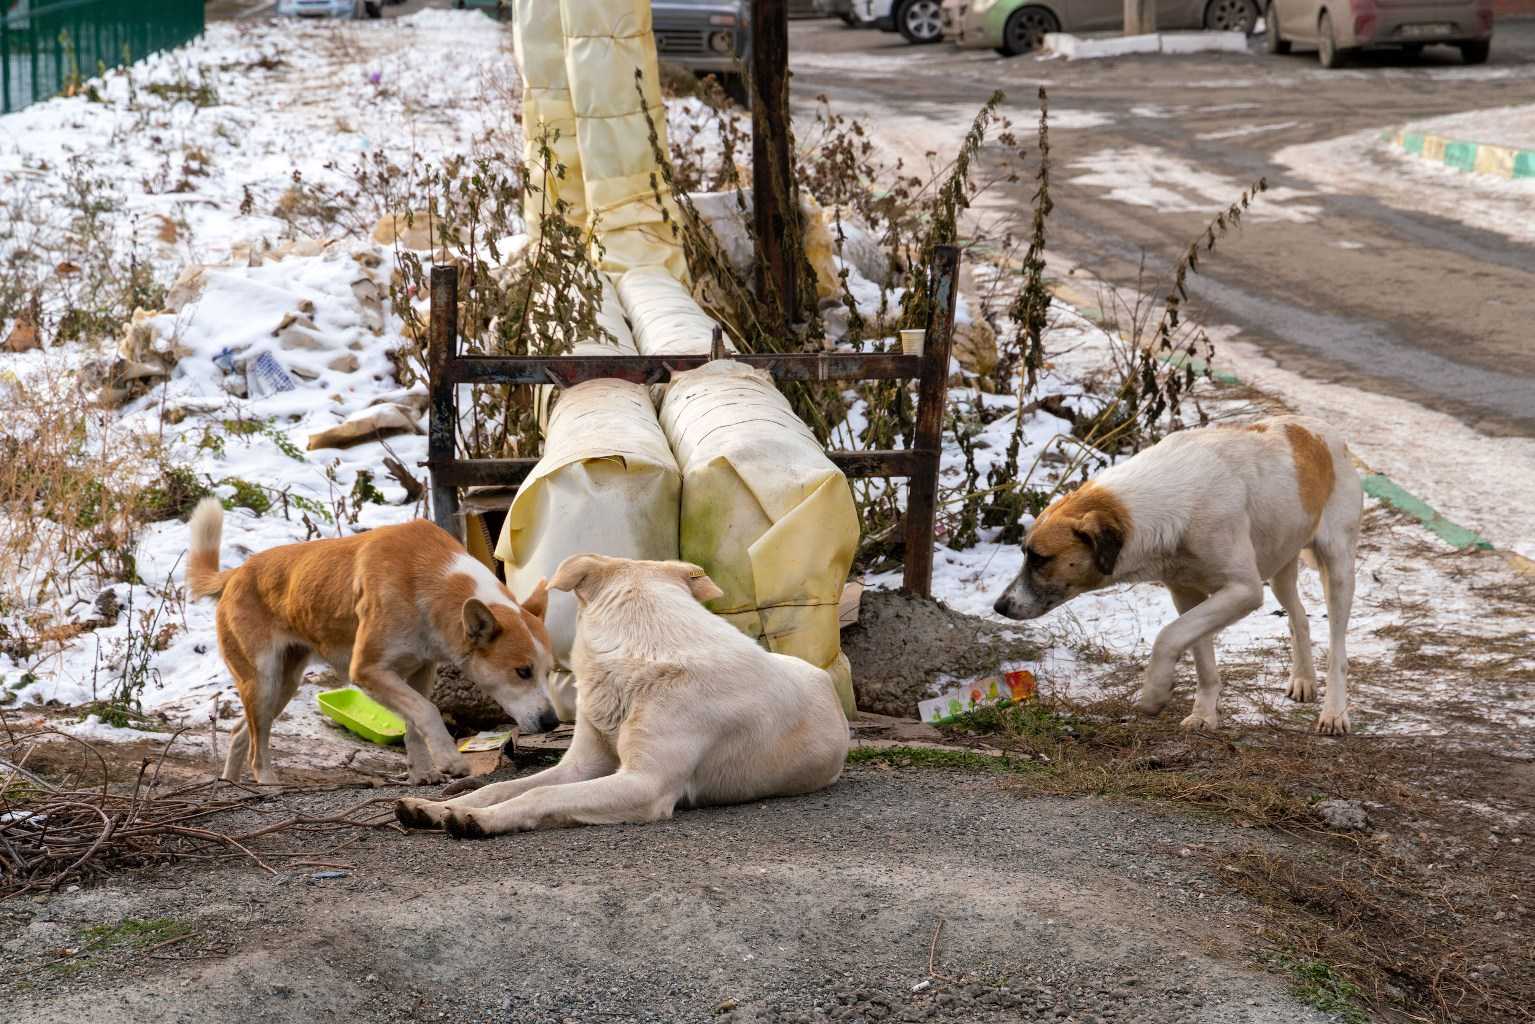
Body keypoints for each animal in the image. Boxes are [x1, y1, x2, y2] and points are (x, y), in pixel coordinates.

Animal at [185, 500, 558, 792]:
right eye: (522, 672)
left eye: (548, 672)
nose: (552, 722)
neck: (426, 576)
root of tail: (234, 574)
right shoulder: (367, 670)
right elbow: (428, 711)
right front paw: (450, 760)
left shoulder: (421, 671)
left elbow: (416, 724)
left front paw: (422, 773)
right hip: (263, 681)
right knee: (256, 744)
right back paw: (266, 783)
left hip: (284, 685)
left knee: (240, 733)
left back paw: (233, 787)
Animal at [396, 555, 853, 835]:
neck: (643, 652)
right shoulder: (581, 766)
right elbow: (505, 787)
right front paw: (440, 807)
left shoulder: (644, 784)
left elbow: (540, 794)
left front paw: (479, 820)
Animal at [994, 417, 1369, 736]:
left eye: (1039, 558)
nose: (1000, 606)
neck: (1163, 506)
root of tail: (1321, 431)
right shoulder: (1186, 593)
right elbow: (1200, 656)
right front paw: (1204, 715)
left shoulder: (1243, 591)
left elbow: (1168, 636)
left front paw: (1154, 692)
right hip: (1280, 564)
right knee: (1299, 617)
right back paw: (1304, 679)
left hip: (1338, 569)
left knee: (1337, 651)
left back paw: (1334, 712)